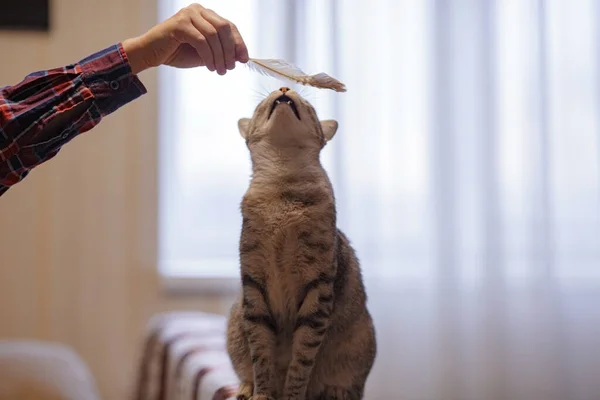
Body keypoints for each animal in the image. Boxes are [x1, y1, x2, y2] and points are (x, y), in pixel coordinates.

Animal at [227, 87, 378, 400]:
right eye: (262, 103)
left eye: (308, 104)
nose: (285, 88)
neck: (282, 192)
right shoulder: (253, 284)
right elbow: (261, 354)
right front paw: (262, 393)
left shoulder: (318, 289)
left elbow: (302, 361)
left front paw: (291, 395)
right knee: (246, 367)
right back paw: (246, 386)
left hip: (360, 343)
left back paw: (334, 392)